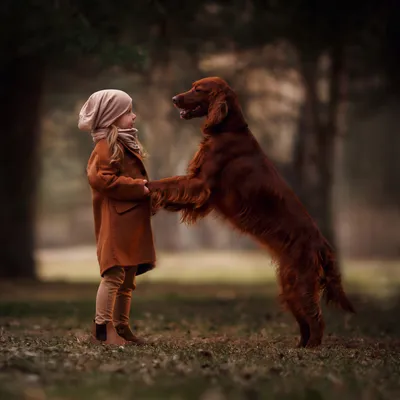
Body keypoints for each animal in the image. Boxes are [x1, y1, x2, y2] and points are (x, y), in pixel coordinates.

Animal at [148, 76, 354, 346]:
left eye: (197, 89)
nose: (174, 99)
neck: (228, 130)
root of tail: (323, 244)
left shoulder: (200, 184)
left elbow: (167, 183)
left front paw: (145, 187)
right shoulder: (201, 191)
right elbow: (173, 188)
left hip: (300, 280)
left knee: (316, 320)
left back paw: (311, 349)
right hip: (289, 281)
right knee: (305, 319)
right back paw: (300, 347)